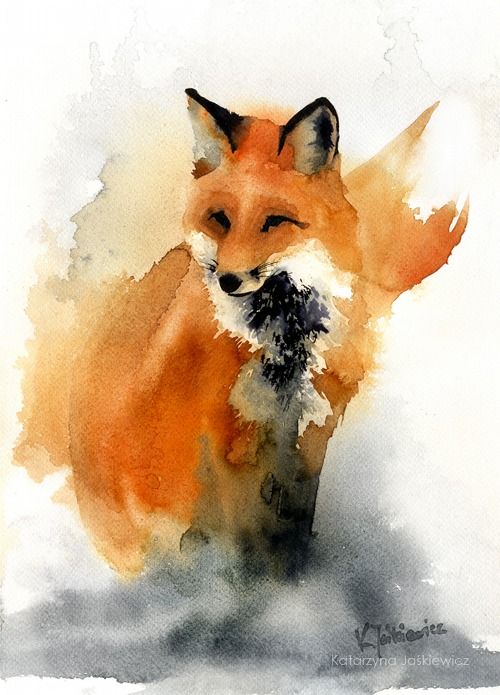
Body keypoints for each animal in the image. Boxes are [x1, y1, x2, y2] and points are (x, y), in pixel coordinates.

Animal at [62, 90, 467, 576]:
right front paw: (251, 587)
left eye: (274, 222)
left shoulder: (310, 435)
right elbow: (241, 541)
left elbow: (292, 527)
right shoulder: (225, 442)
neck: (283, 346)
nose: (228, 280)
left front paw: (293, 580)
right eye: (219, 219)